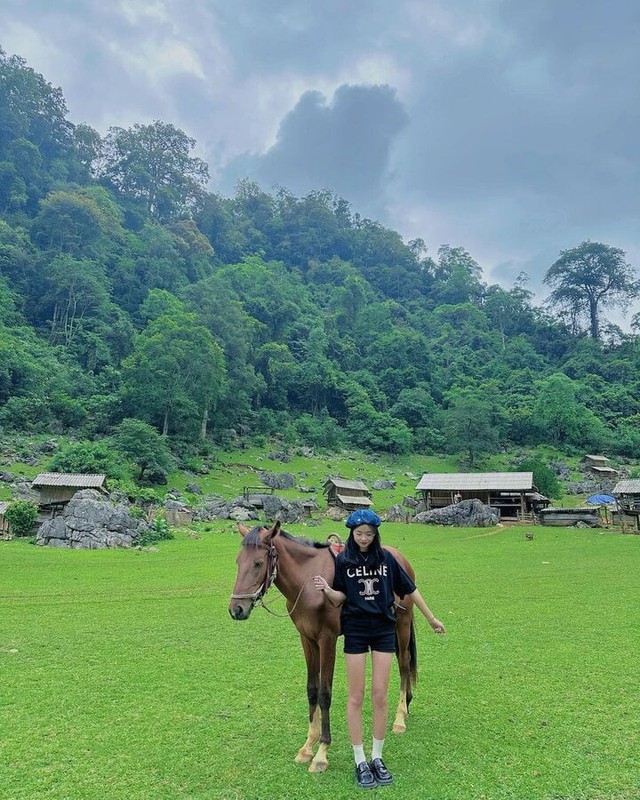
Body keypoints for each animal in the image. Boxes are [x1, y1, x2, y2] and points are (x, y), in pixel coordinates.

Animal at [229, 520, 420, 772]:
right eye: (239, 562)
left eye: (258, 563)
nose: (236, 609)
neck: (308, 582)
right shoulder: (307, 640)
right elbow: (312, 690)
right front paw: (307, 746)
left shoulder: (327, 640)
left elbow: (324, 694)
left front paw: (321, 753)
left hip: (402, 624)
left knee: (404, 665)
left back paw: (399, 717)